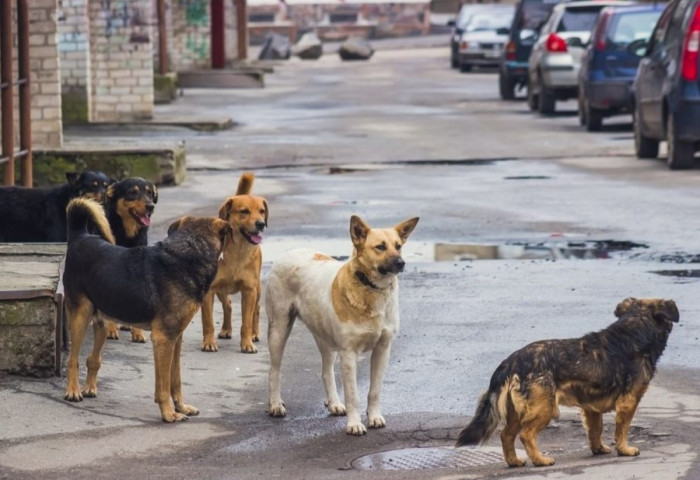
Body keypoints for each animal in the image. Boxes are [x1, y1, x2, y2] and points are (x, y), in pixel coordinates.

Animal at [101, 178, 159, 344]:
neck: (127, 234)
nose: (150, 206)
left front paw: (138, 333)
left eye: (150, 193)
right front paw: (111, 330)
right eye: (132, 192)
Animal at [266, 217, 418, 436]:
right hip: (279, 329)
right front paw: (354, 424)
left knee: (326, 371)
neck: (370, 288)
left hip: (325, 338)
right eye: (380, 247)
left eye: (398, 246)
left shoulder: (382, 350)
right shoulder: (349, 354)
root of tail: (290, 251)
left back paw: (334, 403)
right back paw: (275, 404)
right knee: (274, 370)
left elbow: (374, 391)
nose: (401, 263)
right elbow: (353, 395)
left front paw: (374, 417)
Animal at [456, 298, 680, 466]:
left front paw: (598, 449)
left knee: (506, 435)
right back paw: (540, 460)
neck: (634, 329)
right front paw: (624, 449)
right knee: (526, 435)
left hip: (517, 411)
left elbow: (595, 430)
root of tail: (511, 362)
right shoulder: (628, 402)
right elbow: (622, 429)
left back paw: (514, 461)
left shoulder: (591, 408)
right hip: (544, 409)